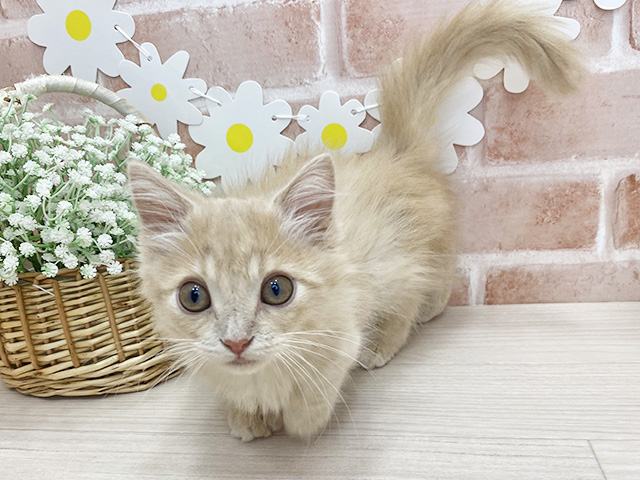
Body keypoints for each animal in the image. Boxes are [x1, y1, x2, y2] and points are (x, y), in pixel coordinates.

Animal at [127, 0, 583, 441]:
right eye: (193, 296)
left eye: (277, 290)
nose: (236, 342)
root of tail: (396, 151)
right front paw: (248, 414)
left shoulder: (344, 326)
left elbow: (316, 392)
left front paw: (299, 420)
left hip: (396, 264)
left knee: (421, 290)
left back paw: (398, 331)